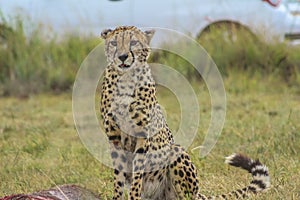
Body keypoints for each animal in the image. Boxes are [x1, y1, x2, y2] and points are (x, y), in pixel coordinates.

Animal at [99, 25, 270, 199]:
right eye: (114, 43)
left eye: (133, 42)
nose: (122, 57)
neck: (125, 79)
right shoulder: (113, 136)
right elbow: (118, 179)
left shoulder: (142, 134)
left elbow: (137, 175)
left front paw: (133, 196)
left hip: (176, 152)